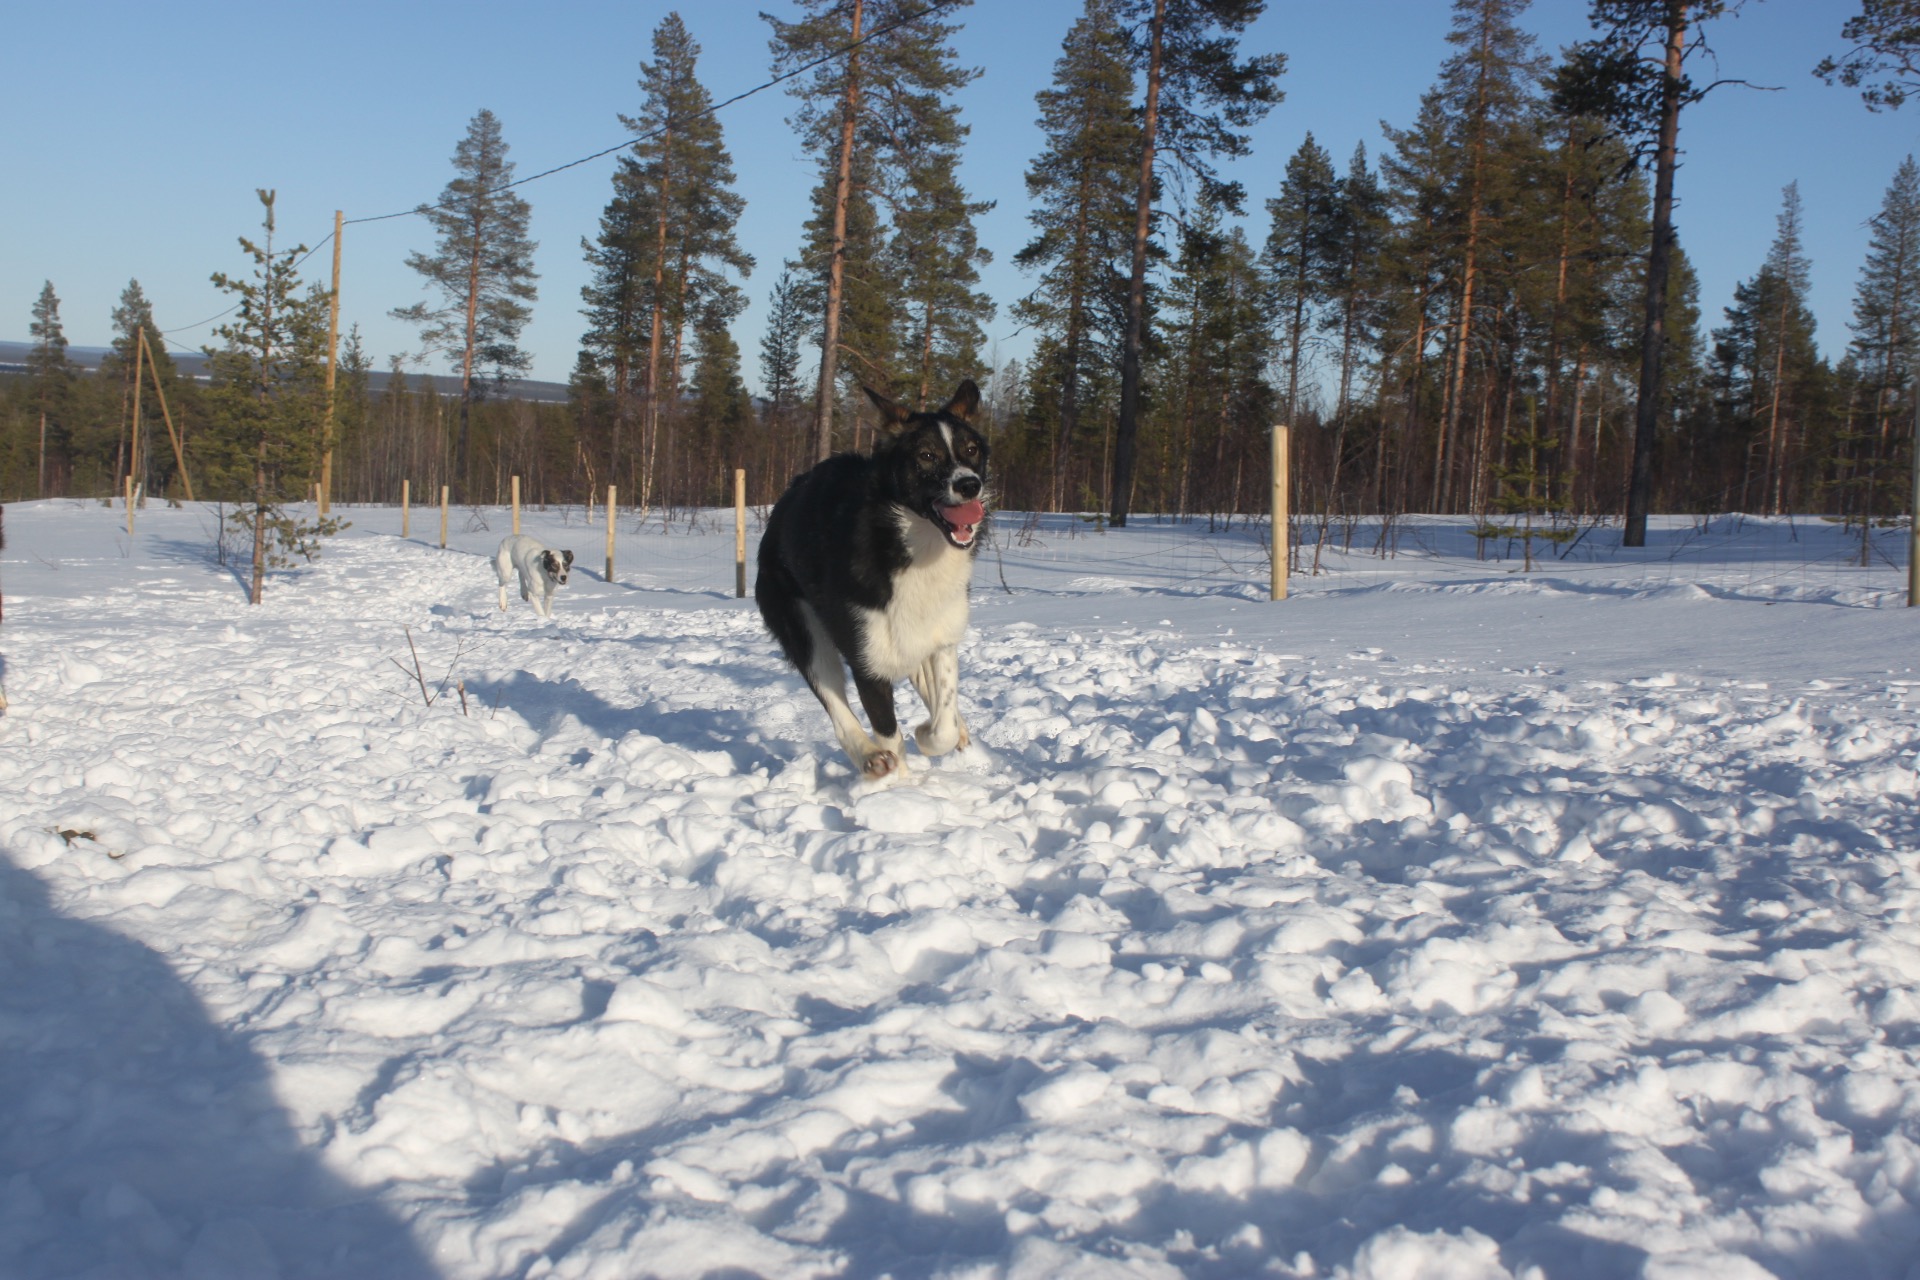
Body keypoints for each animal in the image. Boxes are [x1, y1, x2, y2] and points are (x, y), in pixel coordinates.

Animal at [756, 379, 989, 780]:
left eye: (970, 450)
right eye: (926, 455)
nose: (969, 485)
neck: (916, 549)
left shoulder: (942, 641)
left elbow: (942, 719)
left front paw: (933, 731)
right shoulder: (868, 665)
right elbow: (891, 735)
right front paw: (903, 786)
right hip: (805, 633)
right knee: (836, 705)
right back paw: (869, 756)